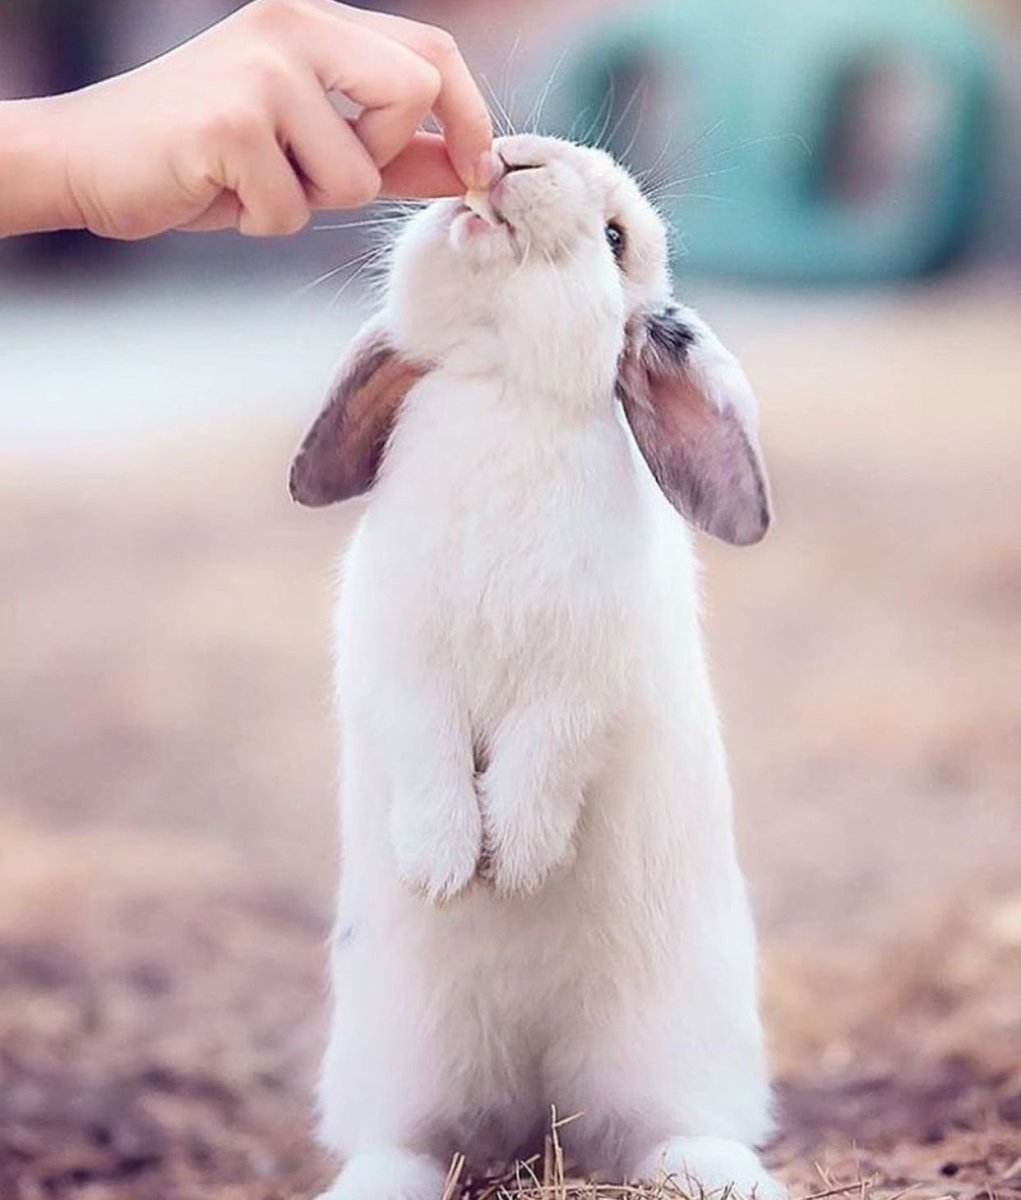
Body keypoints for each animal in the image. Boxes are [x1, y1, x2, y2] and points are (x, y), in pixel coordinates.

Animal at [289, 134, 783, 1200]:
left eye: (615, 237)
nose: (515, 158)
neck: (499, 391)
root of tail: (537, 1116)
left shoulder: (584, 679)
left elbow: (543, 753)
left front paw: (511, 861)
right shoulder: (396, 663)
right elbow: (429, 748)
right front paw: (445, 866)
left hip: (667, 1053)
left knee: (667, 1136)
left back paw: (728, 1175)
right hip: (403, 1060)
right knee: (419, 1146)